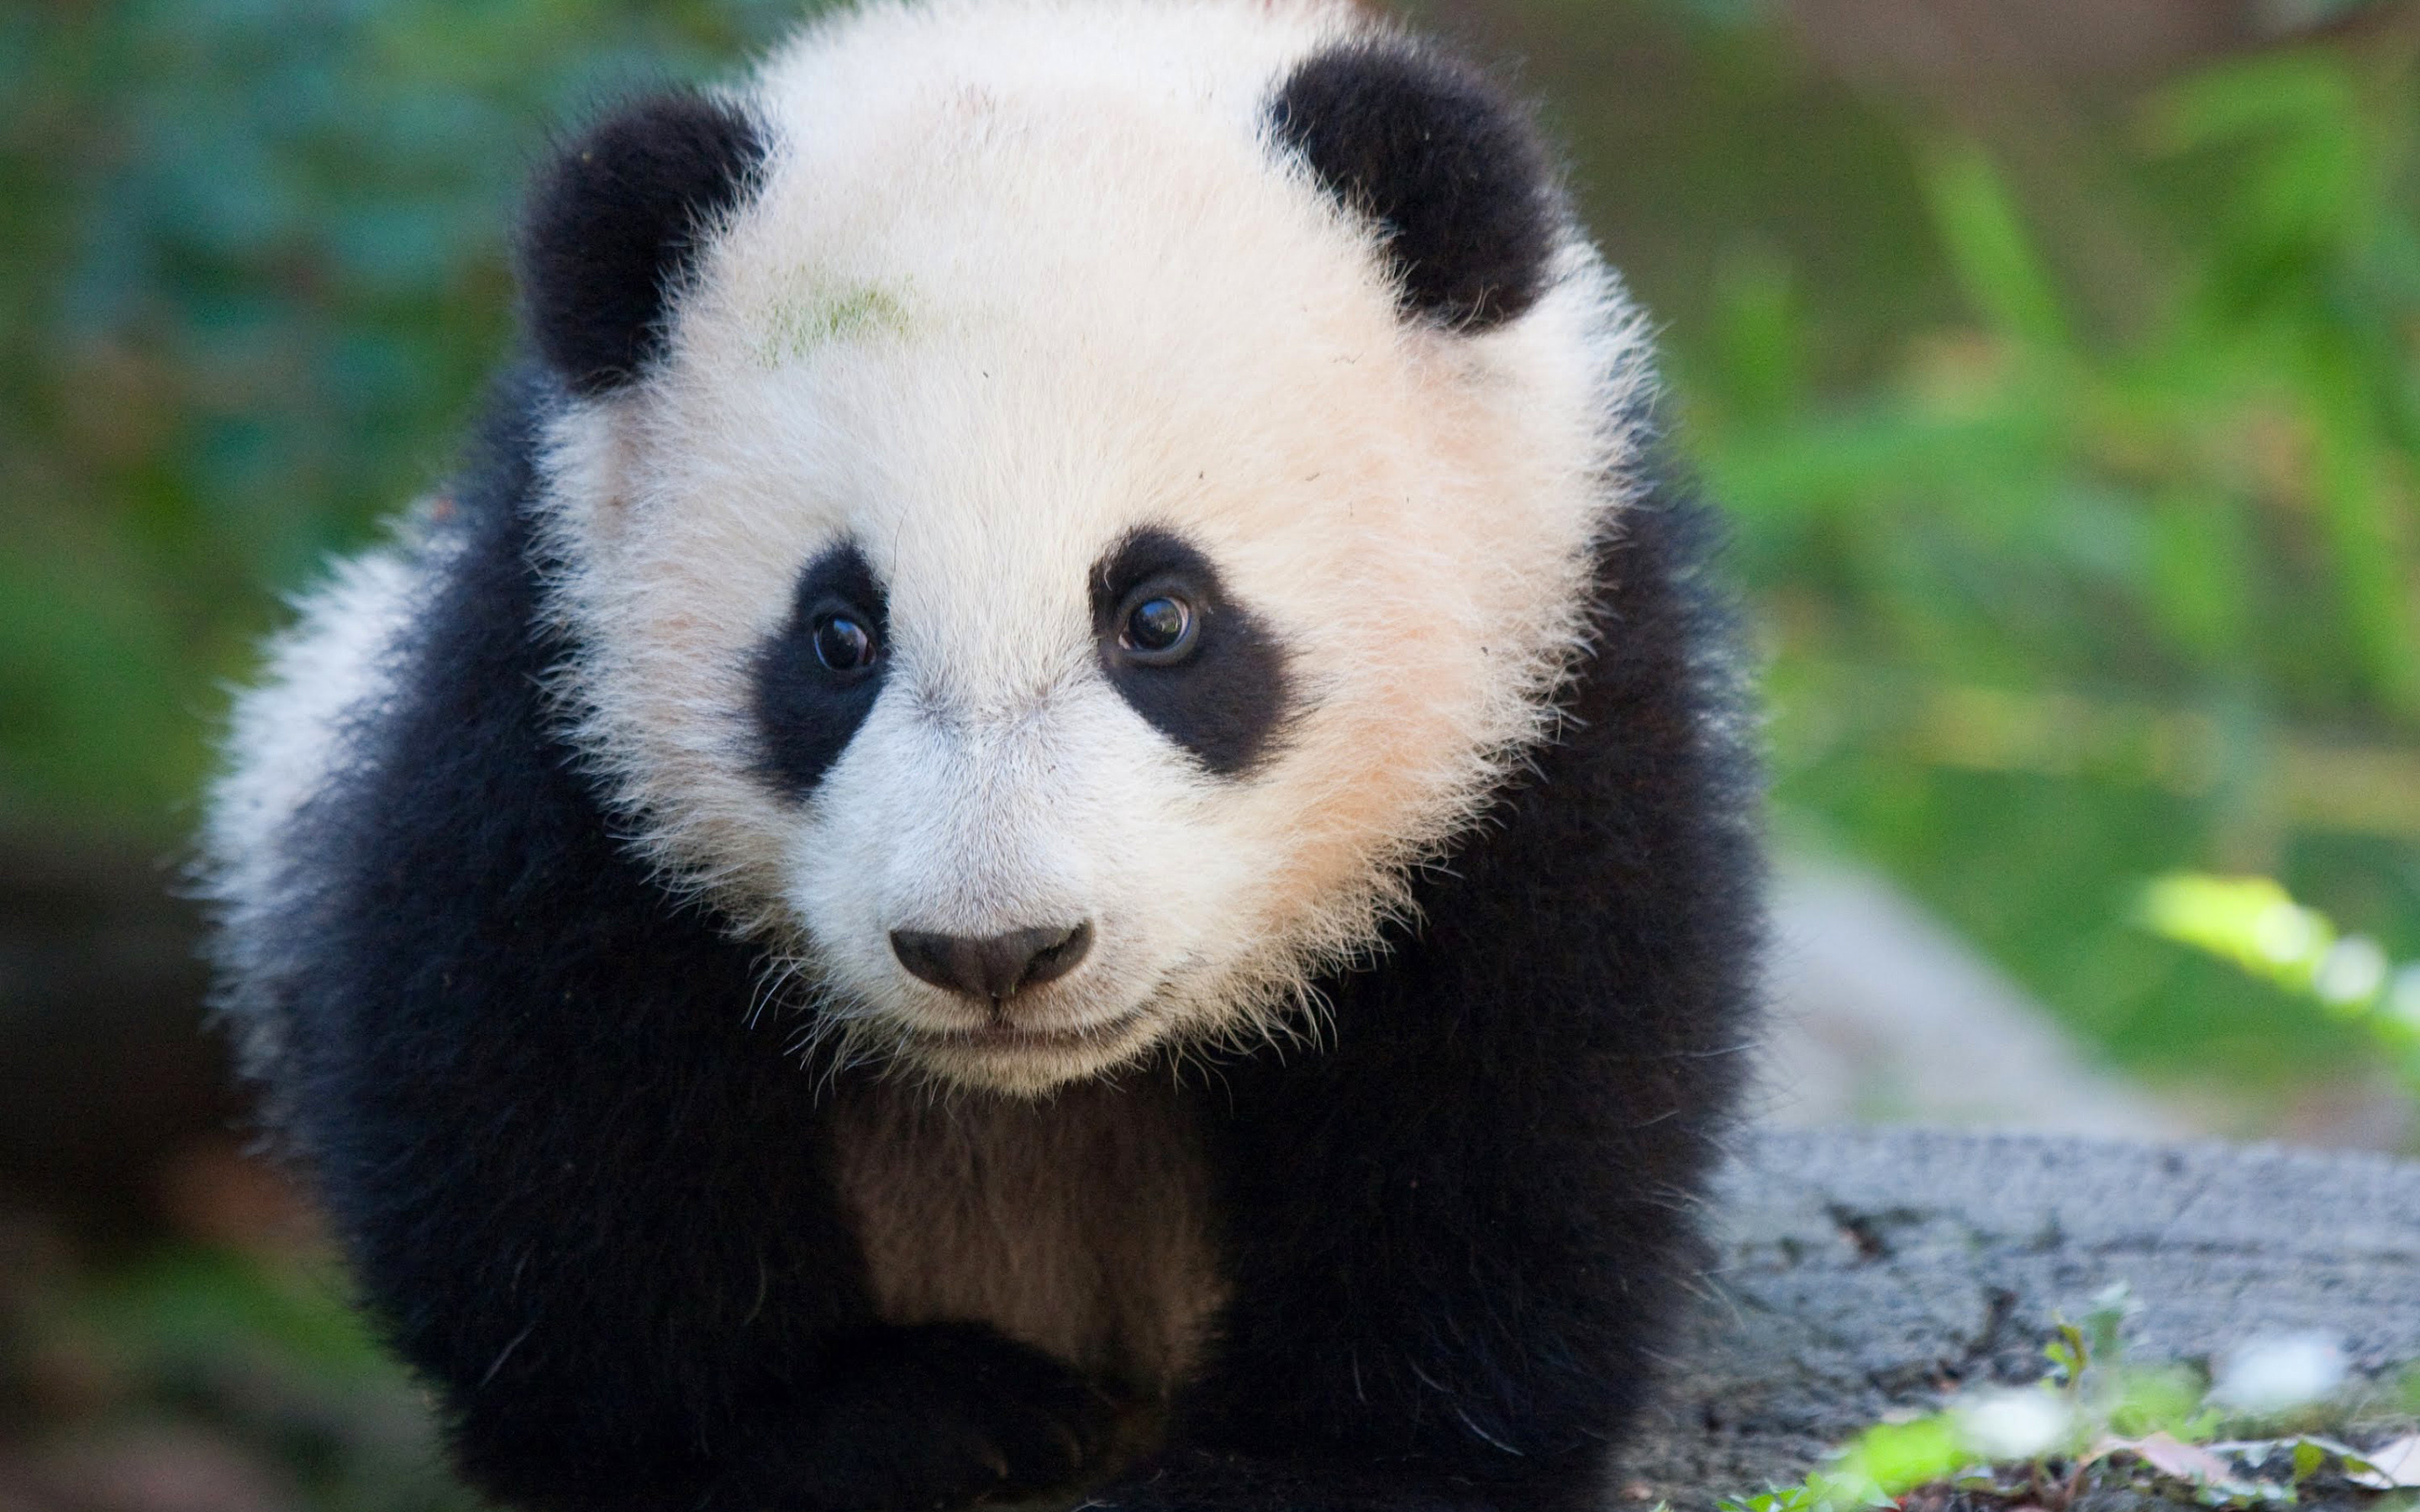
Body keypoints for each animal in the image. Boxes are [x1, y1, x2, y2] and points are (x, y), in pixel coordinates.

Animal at [200, 2, 1762, 1509]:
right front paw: (884, 1423)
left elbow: (1513, 1090)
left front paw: (1309, 1466)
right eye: (839, 636)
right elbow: (539, 1066)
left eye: (1160, 617)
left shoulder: (1553, 664)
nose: (996, 952)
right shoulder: (551, 666)